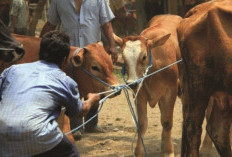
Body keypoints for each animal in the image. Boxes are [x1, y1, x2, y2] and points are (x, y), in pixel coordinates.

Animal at [116, 14, 183, 156]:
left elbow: (167, 122)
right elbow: (141, 124)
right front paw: (138, 151)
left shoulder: (171, 91)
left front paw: (168, 151)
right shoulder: (139, 93)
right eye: (123, 58)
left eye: (144, 56)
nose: (132, 83)